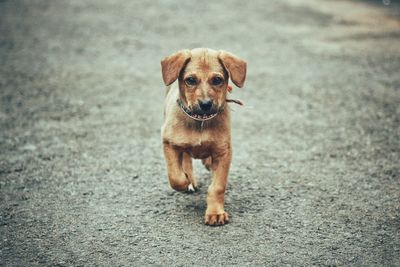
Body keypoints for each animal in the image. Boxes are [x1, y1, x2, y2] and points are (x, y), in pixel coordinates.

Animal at [161, 48, 245, 226]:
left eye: (217, 80)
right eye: (191, 80)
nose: (206, 104)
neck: (201, 121)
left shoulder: (223, 152)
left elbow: (217, 186)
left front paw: (215, 213)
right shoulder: (169, 143)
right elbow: (175, 176)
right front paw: (186, 182)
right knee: (185, 158)